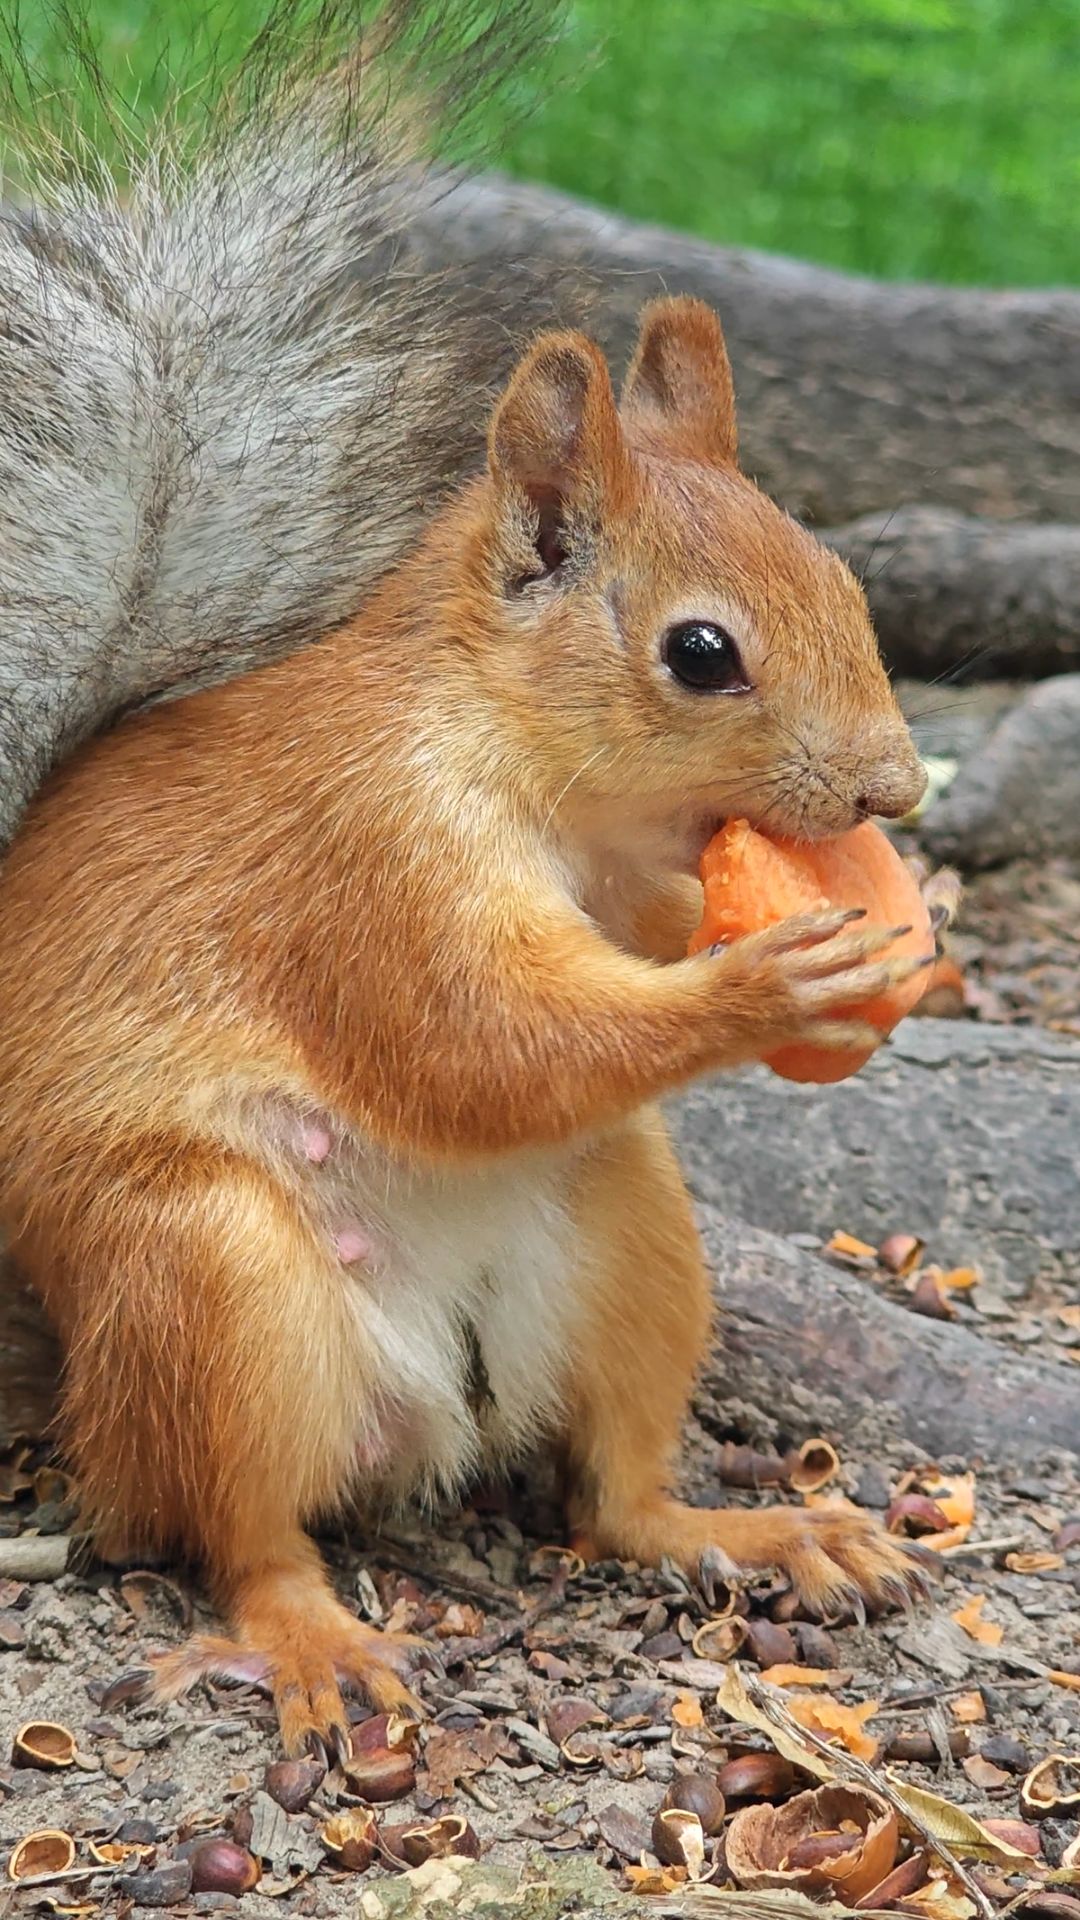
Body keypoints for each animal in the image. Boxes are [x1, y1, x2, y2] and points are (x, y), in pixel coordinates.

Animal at [0, 11, 942, 1763]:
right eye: (700, 653)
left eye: (850, 585)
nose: (893, 793)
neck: (521, 763)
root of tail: (427, 1412)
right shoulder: (367, 860)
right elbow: (476, 1040)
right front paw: (768, 979)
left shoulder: (626, 879)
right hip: (207, 1287)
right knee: (233, 1529)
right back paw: (308, 1640)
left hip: (636, 1241)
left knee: (613, 1492)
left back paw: (753, 1527)